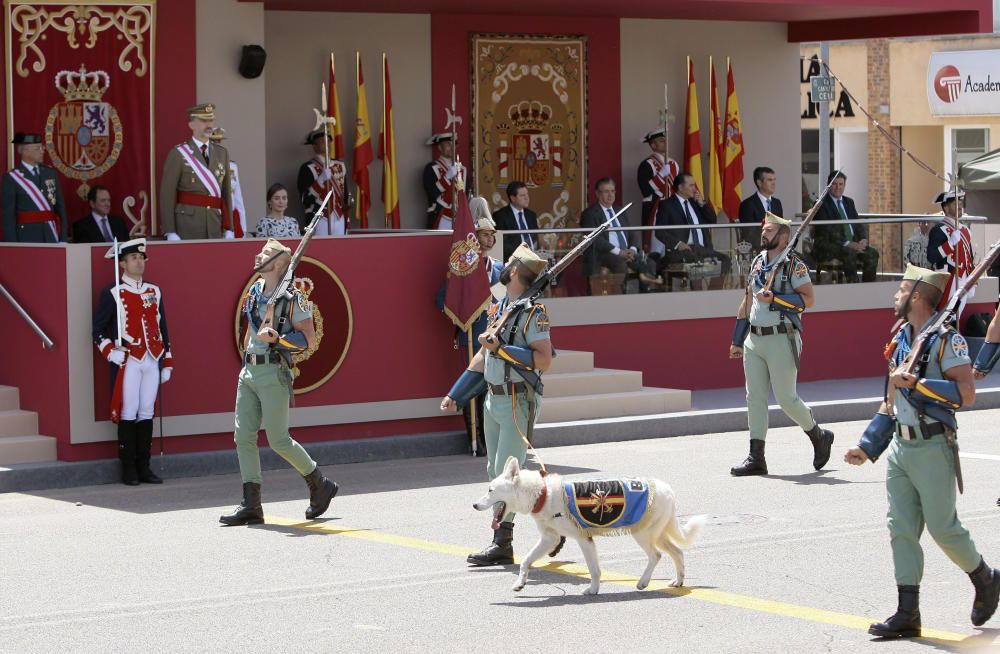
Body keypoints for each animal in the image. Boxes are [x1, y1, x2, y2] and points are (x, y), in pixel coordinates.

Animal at [472, 458, 708, 596]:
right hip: (657, 534)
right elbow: (526, 561)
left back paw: (643, 582)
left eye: (490, 490)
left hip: (642, 534)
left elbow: (594, 570)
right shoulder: (550, 539)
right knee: (677, 552)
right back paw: (678, 581)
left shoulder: (582, 539)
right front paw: (520, 583)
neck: (542, 493)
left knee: (656, 556)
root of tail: (667, 488)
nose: (474, 505)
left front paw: (593, 589)